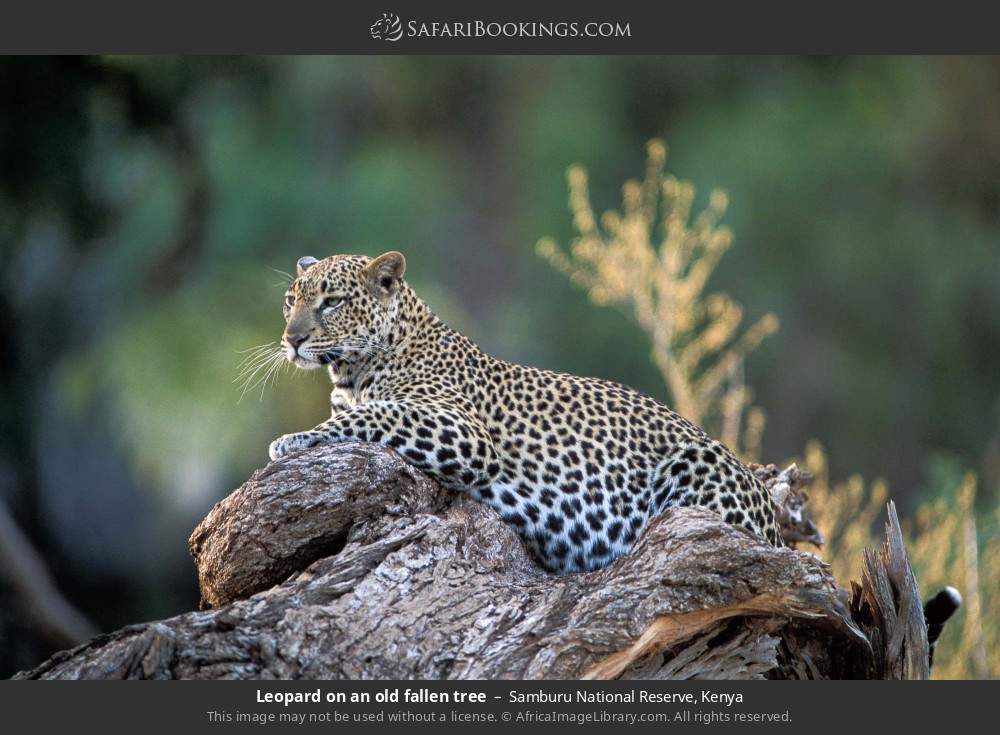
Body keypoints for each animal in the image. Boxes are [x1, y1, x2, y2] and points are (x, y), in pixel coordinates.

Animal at [270, 253, 784, 576]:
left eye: (332, 302)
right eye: (290, 301)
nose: (291, 339)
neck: (349, 373)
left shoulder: (463, 431)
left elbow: (374, 416)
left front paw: (290, 440)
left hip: (698, 462)